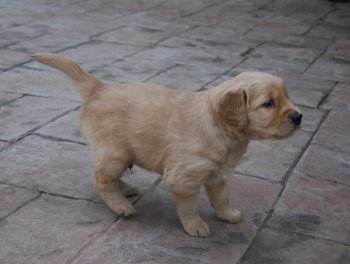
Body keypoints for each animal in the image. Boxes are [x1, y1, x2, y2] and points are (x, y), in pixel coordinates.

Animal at [31, 53, 302, 237]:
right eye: (268, 103)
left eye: (287, 97)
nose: (299, 117)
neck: (222, 128)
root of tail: (99, 88)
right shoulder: (185, 176)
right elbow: (190, 206)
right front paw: (196, 226)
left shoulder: (218, 173)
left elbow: (222, 197)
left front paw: (227, 214)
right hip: (115, 152)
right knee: (101, 178)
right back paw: (121, 205)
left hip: (119, 153)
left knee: (107, 176)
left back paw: (125, 189)